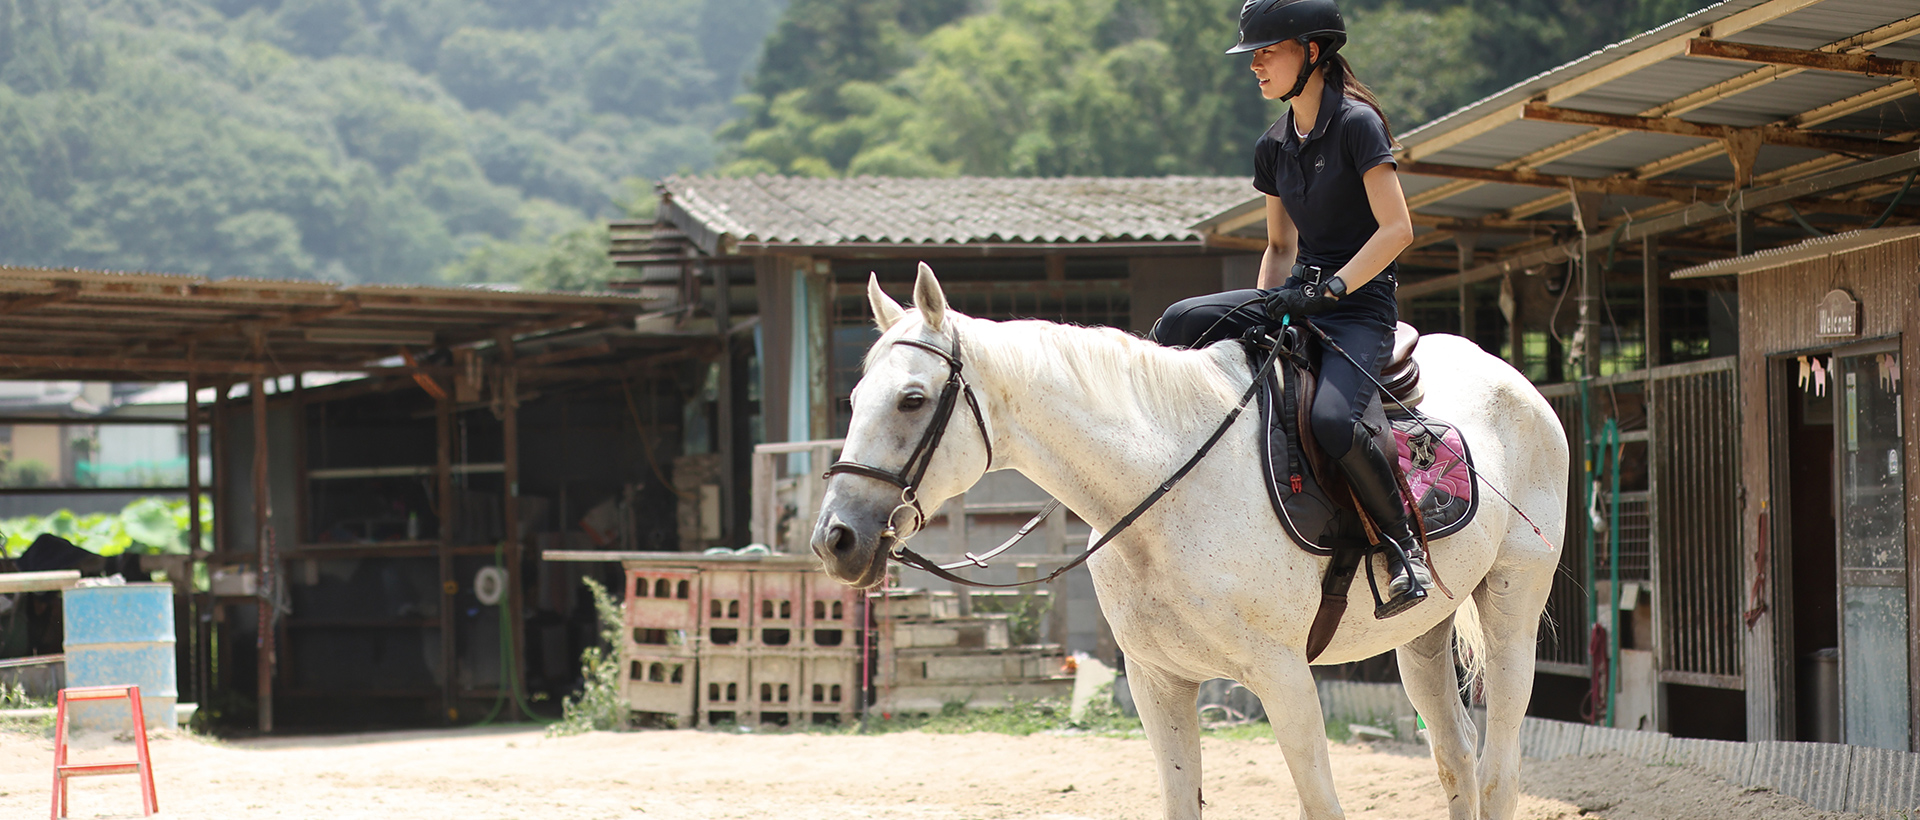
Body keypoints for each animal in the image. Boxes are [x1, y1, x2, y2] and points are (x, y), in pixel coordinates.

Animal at [811, 263, 1568, 820]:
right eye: (853, 400)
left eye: (912, 399)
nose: (836, 540)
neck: (1166, 487)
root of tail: (1515, 382)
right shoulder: (1158, 681)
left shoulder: (1285, 677)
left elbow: (1321, 805)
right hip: (1422, 633)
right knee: (1456, 757)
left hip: (1510, 610)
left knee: (1498, 771)